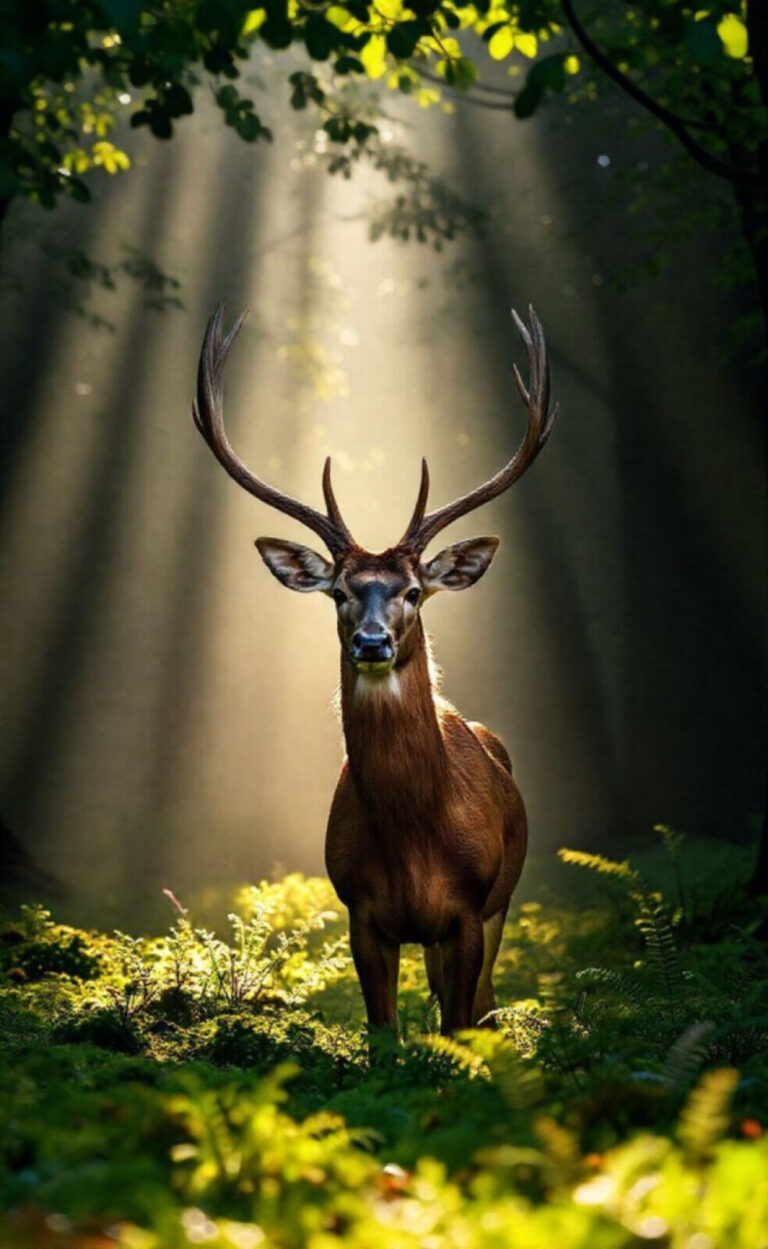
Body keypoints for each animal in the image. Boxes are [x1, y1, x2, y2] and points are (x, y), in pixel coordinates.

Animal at [193, 304, 558, 1036]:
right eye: (339, 591)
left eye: (414, 591)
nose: (370, 642)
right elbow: (383, 1034)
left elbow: (458, 1025)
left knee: (482, 1008)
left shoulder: (470, 909)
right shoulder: (360, 908)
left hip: (502, 904)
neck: (417, 841)